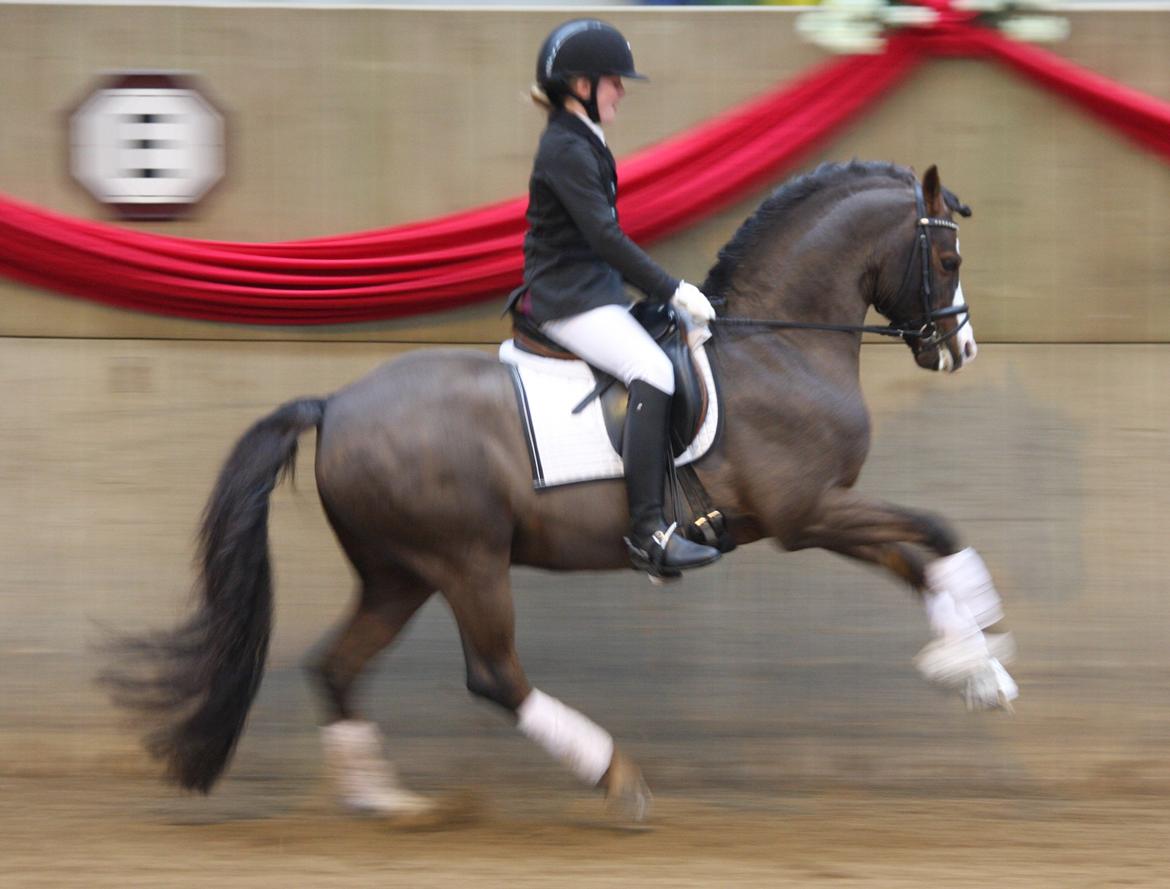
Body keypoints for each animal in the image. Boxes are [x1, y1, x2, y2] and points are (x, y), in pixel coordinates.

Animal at [107, 161, 1015, 828]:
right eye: (948, 261)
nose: (961, 349)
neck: (780, 346)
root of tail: (334, 404)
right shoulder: (807, 513)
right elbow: (936, 530)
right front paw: (979, 648)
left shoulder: (821, 512)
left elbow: (917, 554)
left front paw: (975, 668)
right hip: (465, 560)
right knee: (493, 675)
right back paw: (616, 778)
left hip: (399, 572)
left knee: (337, 665)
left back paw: (385, 798)